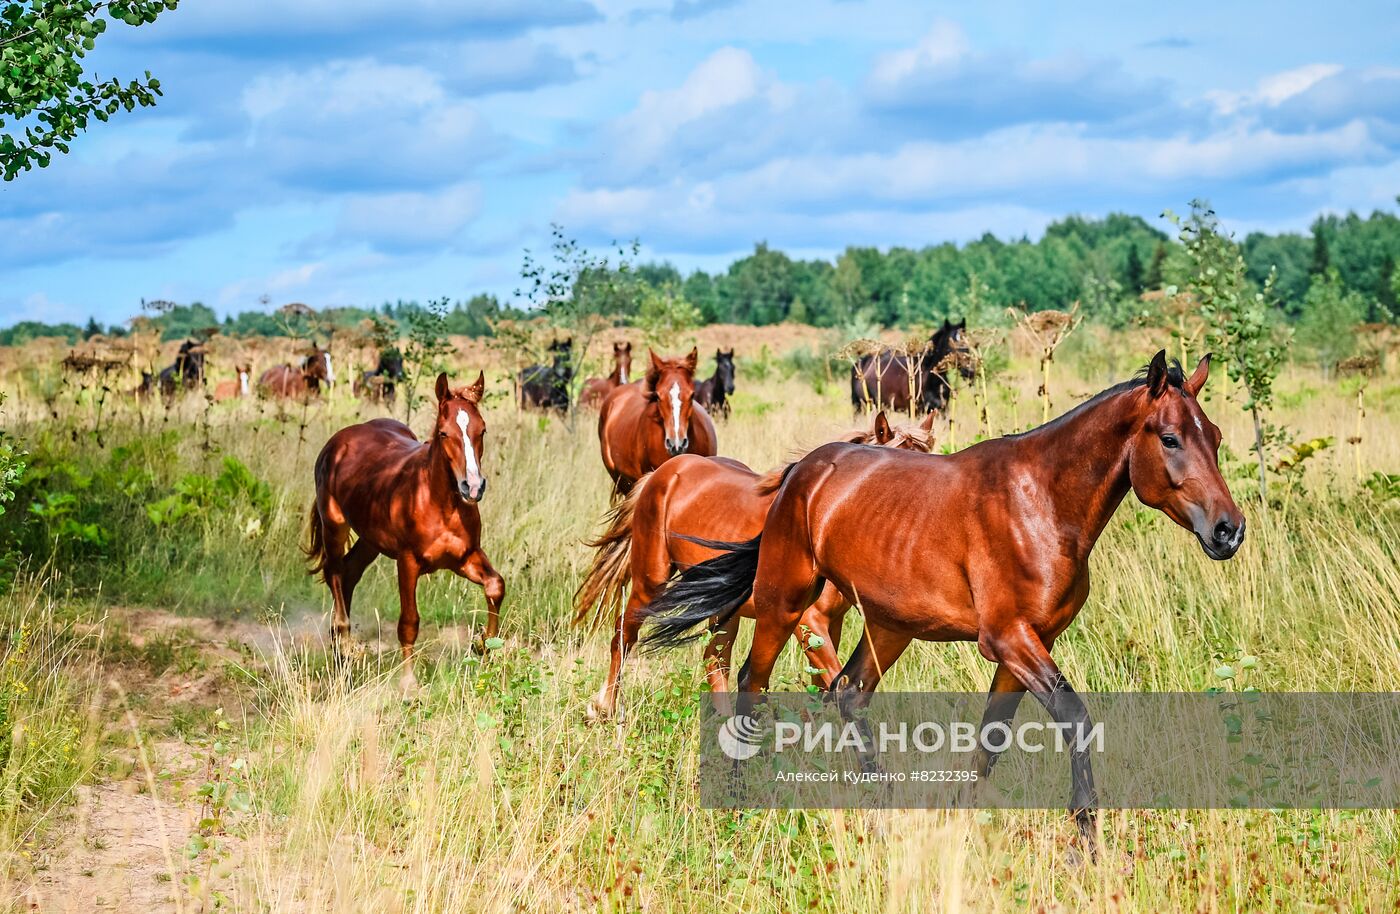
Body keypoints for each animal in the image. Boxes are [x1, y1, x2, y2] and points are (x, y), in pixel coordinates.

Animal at [309, 369, 506, 691]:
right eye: (444, 432)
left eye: (483, 430)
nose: (473, 487)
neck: (438, 503)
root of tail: (340, 439)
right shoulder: (408, 561)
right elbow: (409, 622)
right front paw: (409, 684)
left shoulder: (464, 557)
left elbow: (495, 585)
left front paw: (482, 644)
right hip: (334, 526)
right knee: (334, 572)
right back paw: (344, 644)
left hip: (370, 540)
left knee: (349, 573)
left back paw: (342, 657)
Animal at [574, 408, 935, 722]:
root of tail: (663, 473)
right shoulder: (808, 621)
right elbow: (832, 679)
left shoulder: (831, 623)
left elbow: (822, 685)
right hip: (651, 581)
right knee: (624, 634)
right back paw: (604, 708)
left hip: (722, 609)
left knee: (715, 660)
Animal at [641, 351, 1243, 856]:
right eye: (1170, 438)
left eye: (1214, 436)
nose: (1228, 531)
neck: (1041, 502)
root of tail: (800, 474)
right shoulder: (1008, 639)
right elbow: (1074, 717)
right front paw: (1087, 845)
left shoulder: (1029, 645)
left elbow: (992, 738)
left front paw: (959, 820)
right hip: (784, 601)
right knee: (750, 685)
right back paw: (738, 805)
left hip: (889, 626)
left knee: (849, 695)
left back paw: (881, 808)